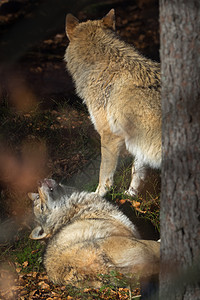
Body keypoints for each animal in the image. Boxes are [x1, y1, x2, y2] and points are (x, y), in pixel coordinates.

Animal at [64, 9, 161, 197]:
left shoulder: (110, 136)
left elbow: (104, 175)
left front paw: (96, 196)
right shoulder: (139, 140)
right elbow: (136, 172)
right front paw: (130, 195)